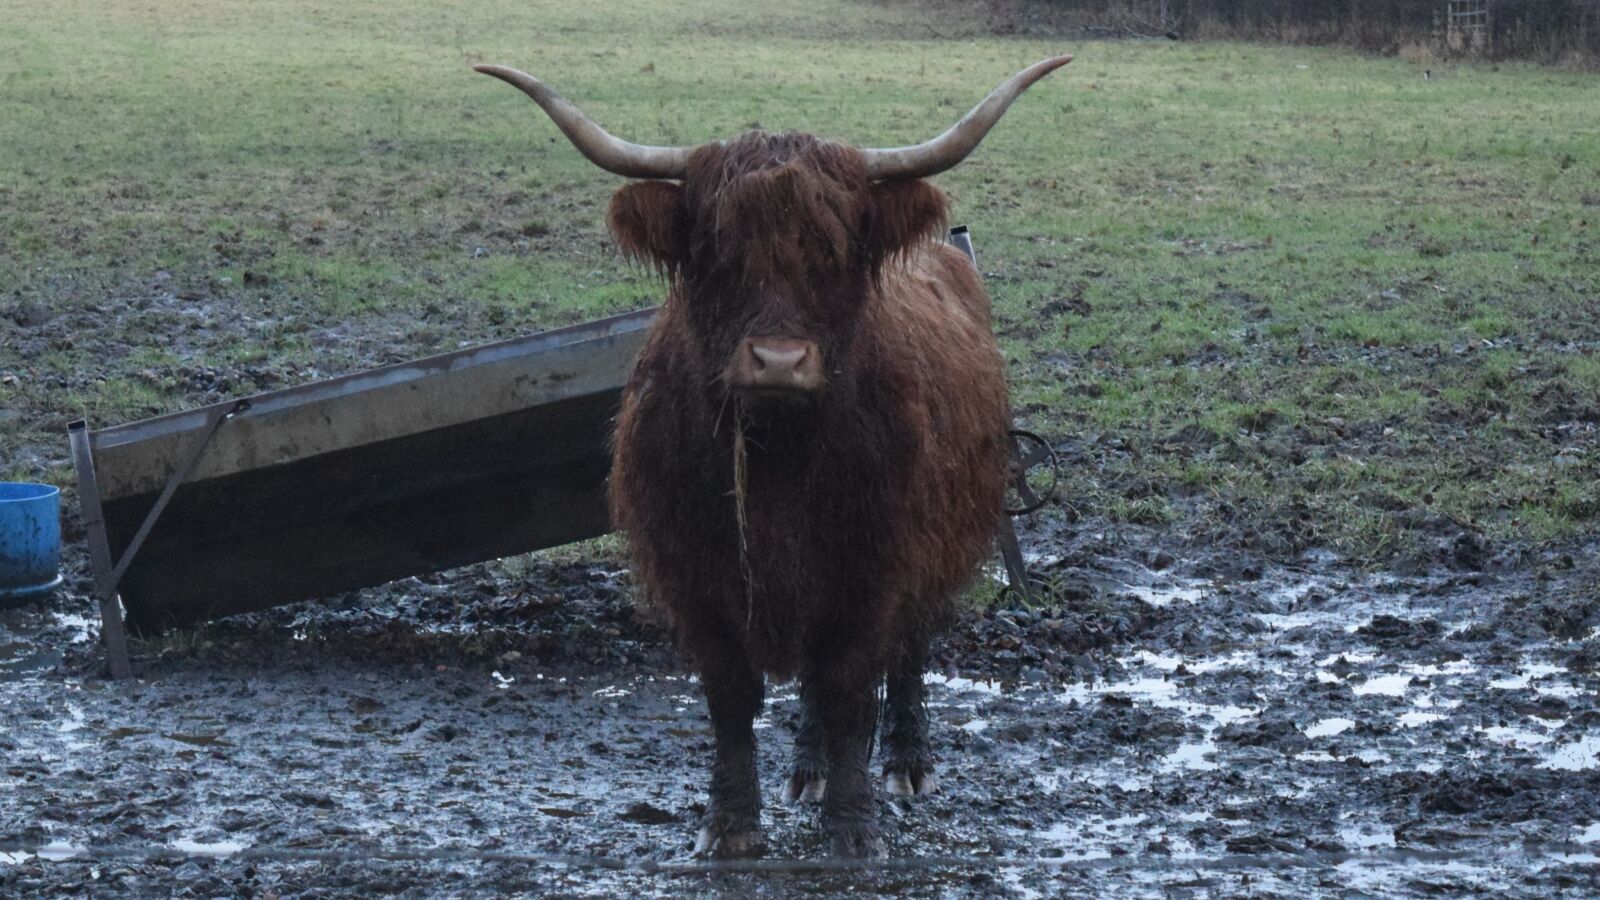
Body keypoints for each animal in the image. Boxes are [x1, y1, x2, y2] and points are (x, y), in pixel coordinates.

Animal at [476, 56, 1070, 858]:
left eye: (836, 249)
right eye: (715, 250)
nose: (780, 362)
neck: (780, 458)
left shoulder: (875, 561)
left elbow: (850, 684)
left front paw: (852, 830)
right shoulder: (697, 571)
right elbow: (734, 696)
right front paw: (729, 825)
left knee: (906, 651)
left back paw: (907, 763)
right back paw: (806, 769)